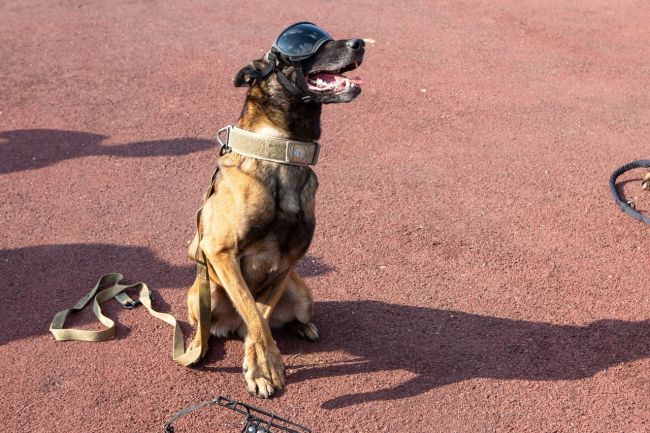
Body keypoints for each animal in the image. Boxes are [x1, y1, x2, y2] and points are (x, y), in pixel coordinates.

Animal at [184, 22, 364, 396]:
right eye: (305, 41)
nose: (360, 43)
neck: (282, 149)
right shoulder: (220, 251)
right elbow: (253, 312)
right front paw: (266, 368)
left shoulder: (288, 262)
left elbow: (260, 316)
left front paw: (258, 363)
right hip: (198, 294)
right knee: (208, 323)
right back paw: (198, 345)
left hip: (302, 293)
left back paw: (302, 328)